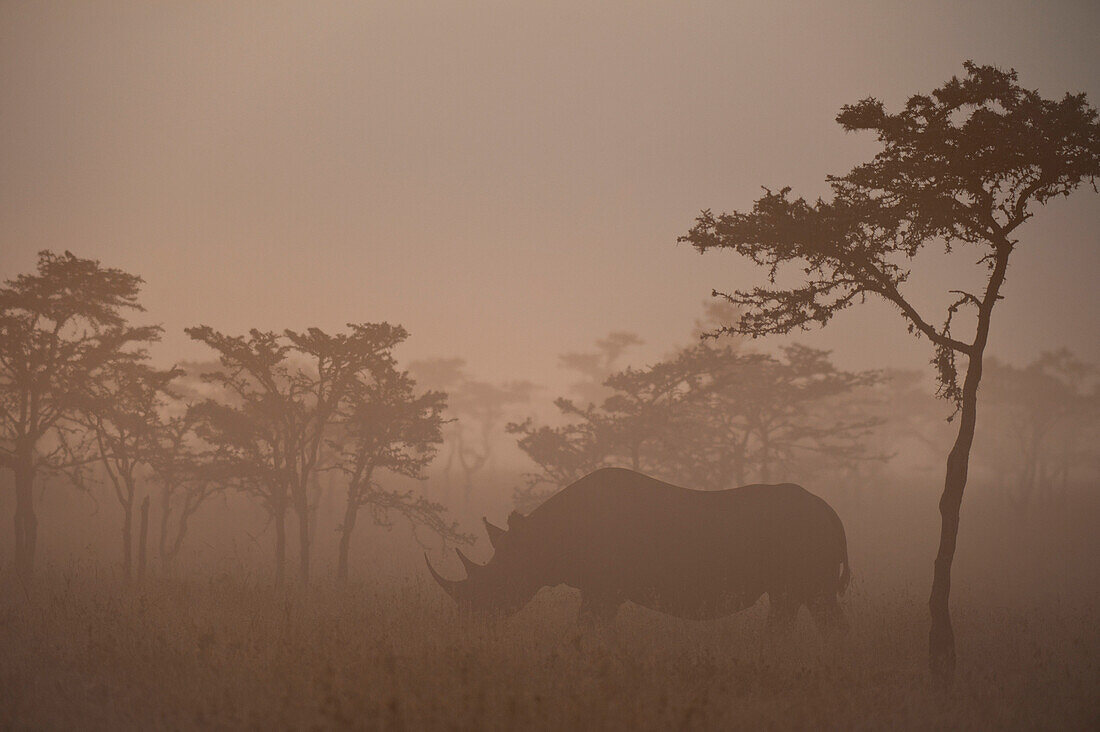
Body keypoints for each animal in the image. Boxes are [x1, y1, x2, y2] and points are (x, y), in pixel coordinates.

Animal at [422, 468, 849, 629]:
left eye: (497, 584)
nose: (470, 621)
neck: (540, 540)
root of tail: (830, 511)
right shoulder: (600, 588)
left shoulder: (604, 588)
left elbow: (588, 626)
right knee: (807, 603)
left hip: (801, 539)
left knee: (801, 602)